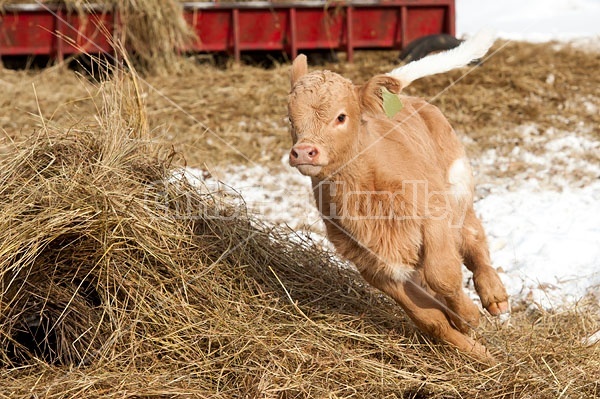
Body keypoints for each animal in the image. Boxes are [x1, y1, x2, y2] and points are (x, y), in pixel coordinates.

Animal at [288, 32, 508, 362]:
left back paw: (494, 295)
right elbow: (428, 317)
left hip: (458, 188)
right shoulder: (372, 264)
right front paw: (476, 351)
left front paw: (468, 316)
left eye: (341, 117)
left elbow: (443, 274)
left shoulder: (433, 216)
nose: (304, 151)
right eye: (290, 120)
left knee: (474, 240)